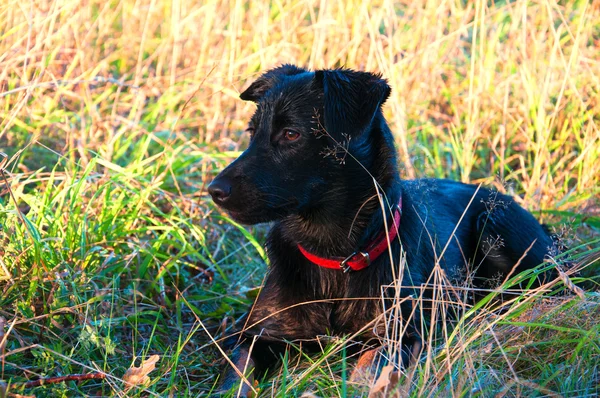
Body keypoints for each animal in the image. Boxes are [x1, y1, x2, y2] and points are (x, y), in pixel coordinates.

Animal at [207, 64, 556, 392]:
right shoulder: (253, 334)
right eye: (252, 132)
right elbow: (236, 378)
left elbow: (366, 373)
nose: (214, 190)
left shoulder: (398, 336)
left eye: (291, 134)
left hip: (495, 225)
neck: (335, 259)